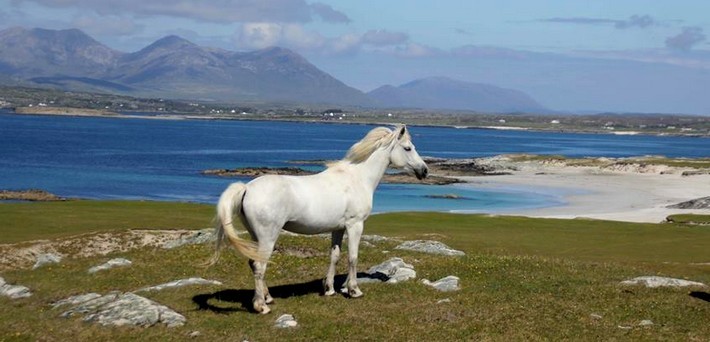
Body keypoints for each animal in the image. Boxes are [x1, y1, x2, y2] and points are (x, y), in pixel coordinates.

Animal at [210, 124, 428, 314]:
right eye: (408, 148)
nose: (424, 170)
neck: (357, 178)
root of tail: (247, 188)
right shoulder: (355, 225)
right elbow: (353, 257)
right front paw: (354, 290)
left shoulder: (338, 228)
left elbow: (335, 256)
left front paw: (330, 289)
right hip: (268, 237)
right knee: (259, 266)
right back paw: (261, 306)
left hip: (256, 236)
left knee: (254, 263)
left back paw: (268, 297)